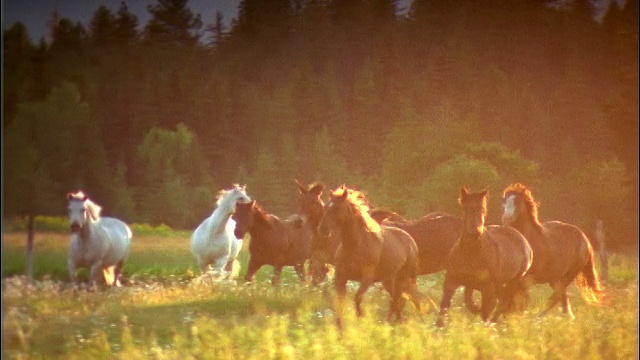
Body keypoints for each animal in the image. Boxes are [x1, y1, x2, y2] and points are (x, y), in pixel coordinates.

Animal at [318, 186, 422, 326]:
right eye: (326, 207)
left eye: (337, 208)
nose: (322, 229)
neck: (355, 245)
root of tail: (410, 240)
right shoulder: (341, 276)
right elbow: (340, 302)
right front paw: (340, 327)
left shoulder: (367, 278)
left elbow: (357, 298)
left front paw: (361, 317)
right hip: (388, 280)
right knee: (397, 300)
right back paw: (393, 322)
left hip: (403, 278)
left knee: (400, 299)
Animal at [436, 188, 536, 326]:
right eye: (466, 208)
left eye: (483, 209)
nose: (476, 232)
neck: (470, 252)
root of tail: (522, 238)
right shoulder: (451, 282)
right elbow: (445, 307)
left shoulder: (487, 288)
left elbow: (485, 311)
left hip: (514, 281)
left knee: (502, 303)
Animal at [502, 183, 604, 318]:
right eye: (504, 200)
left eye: (517, 201)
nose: (506, 218)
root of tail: (584, 239)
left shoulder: (527, 278)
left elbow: (519, 299)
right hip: (555, 278)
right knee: (563, 298)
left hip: (569, 274)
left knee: (557, 297)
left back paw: (540, 317)